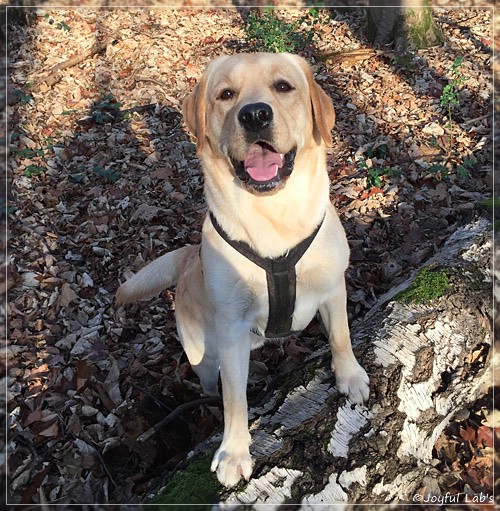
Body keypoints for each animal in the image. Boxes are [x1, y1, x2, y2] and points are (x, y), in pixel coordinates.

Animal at [116, 53, 368, 488]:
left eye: (283, 86)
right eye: (226, 95)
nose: (254, 115)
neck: (274, 217)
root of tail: (189, 257)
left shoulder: (334, 287)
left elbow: (340, 336)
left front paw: (349, 375)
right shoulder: (231, 327)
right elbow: (235, 397)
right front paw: (233, 451)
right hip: (201, 353)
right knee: (212, 383)